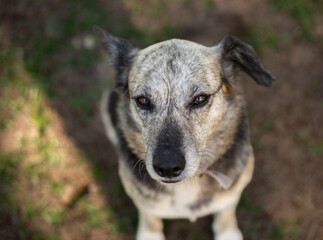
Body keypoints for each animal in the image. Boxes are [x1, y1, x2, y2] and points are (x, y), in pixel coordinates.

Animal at [93, 24, 276, 240]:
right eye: (143, 100)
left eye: (200, 99)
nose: (168, 167)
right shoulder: (145, 206)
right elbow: (150, 219)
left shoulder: (231, 196)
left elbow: (225, 214)